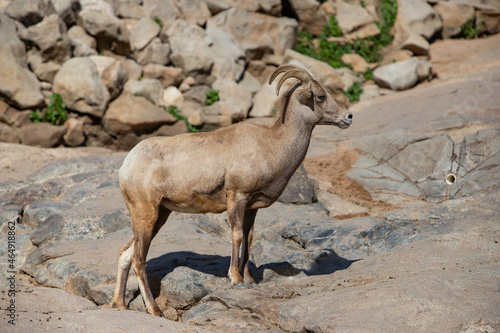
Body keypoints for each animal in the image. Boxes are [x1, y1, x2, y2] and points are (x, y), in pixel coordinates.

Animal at [111, 64, 354, 314]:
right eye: (321, 96)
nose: (349, 116)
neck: (272, 144)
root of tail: (127, 165)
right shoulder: (237, 197)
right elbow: (236, 236)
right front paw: (236, 279)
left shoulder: (251, 207)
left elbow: (248, 239)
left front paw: (250, 280)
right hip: (147, 213)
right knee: (138, 259)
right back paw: (154, 310)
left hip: (159, 215)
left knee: (126, 254)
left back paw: (120, 304)